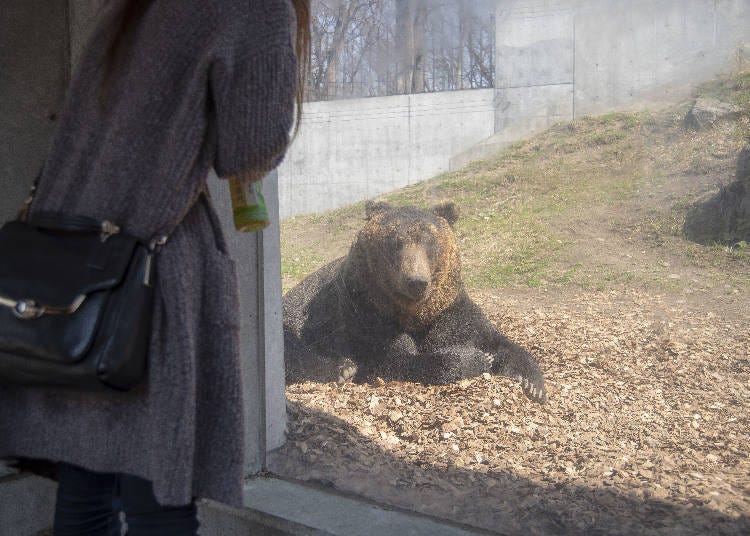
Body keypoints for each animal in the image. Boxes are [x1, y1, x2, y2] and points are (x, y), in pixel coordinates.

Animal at [284, 201, 548, 402]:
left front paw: (532, 383)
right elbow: (391, 359)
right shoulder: (363, 313)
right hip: (295, 315)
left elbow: (490, 337)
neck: (415, 314)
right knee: (296, 352)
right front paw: (475, 359)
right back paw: (342, 369)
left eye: (430, 241)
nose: (416, 281)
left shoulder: (451, 310)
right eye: (394, 241)